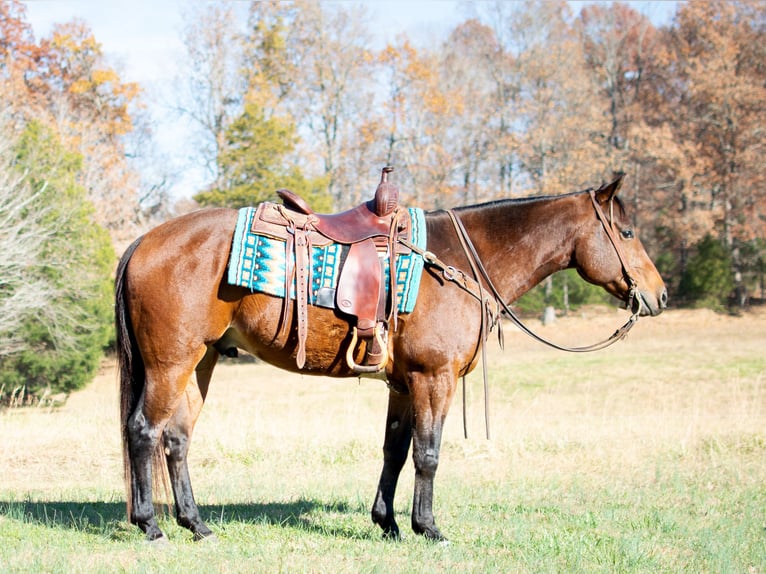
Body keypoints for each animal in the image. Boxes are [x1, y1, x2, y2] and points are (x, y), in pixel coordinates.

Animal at [114, 176, 664, 544]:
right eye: (628, 233)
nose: (658, 296)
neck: (456, 263)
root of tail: (143, 241)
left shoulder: (403, 385)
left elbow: (395, 452)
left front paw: (390, 523)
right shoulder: (433, 378)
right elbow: (428, 454)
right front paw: (429, 527)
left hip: (200, 363)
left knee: (177, 439)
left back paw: (196, 524)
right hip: (170, 364)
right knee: (143, 430)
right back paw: (151, 526)